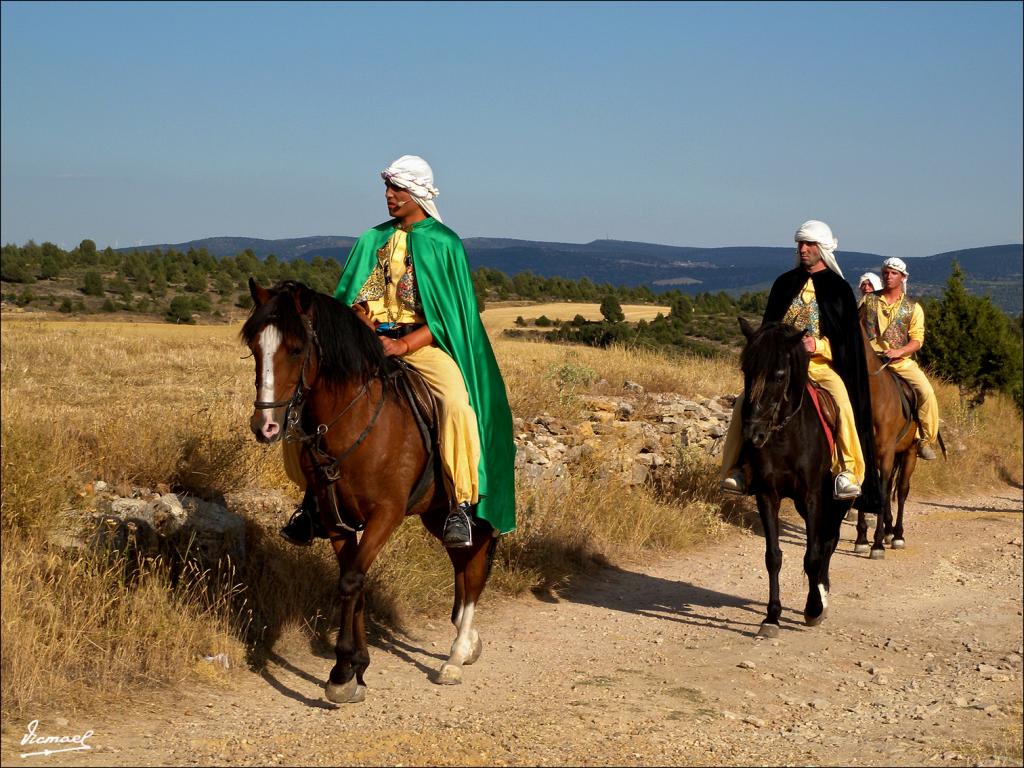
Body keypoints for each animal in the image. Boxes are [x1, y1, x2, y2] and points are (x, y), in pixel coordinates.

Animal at [239, 280, 495, 708]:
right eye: (255, 347)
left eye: (296, 348)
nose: (266, 426)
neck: (352, 421)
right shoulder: (334, 518)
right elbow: (352, 580)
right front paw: (357, 667)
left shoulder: (385, 514)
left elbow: (352, 582)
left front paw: (342, 673)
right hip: (435, 513)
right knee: (462, 562)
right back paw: (467, 640)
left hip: (469, 507)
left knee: (473, 562)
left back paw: (456, 656)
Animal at [737, 319, 856, 638]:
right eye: (746, 371)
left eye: (779, 375)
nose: (752, 435)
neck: (784, 437)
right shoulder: (767, 495)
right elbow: (773, 556)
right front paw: (771, 617)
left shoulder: (813, 496)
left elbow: (813, 555)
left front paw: (814, 608)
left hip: (836, 502)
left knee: (827, 542)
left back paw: (821, 595)